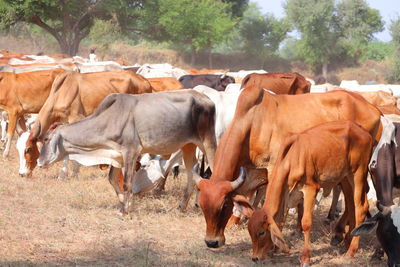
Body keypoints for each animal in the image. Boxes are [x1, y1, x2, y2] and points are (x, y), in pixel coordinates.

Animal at [17, 70, 152, 179]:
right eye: (18, 149)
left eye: (29, 149)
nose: (22, 173)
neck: (62, 91)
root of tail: (145, 81)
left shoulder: (76, 119)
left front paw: (69, 173)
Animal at [36, 91, 217, 215]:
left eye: (46, 139)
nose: (39, 162)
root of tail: (207, 99)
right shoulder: (117, 156)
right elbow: (112, 179)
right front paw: (126, 203)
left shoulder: (131, 151)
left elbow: (127, 182)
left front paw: (124, 211)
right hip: (188, 146)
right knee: (192, 174)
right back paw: (181, 207)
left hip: (208, 143)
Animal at [193, 88, 382, 251]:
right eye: (201, 205)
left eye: (224, 205)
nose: (212, 242)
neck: (252, 123)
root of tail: (375, 110)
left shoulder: (275, 170)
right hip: (345, 173)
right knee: (351, 200)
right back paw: (344, 236)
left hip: (355, 171)